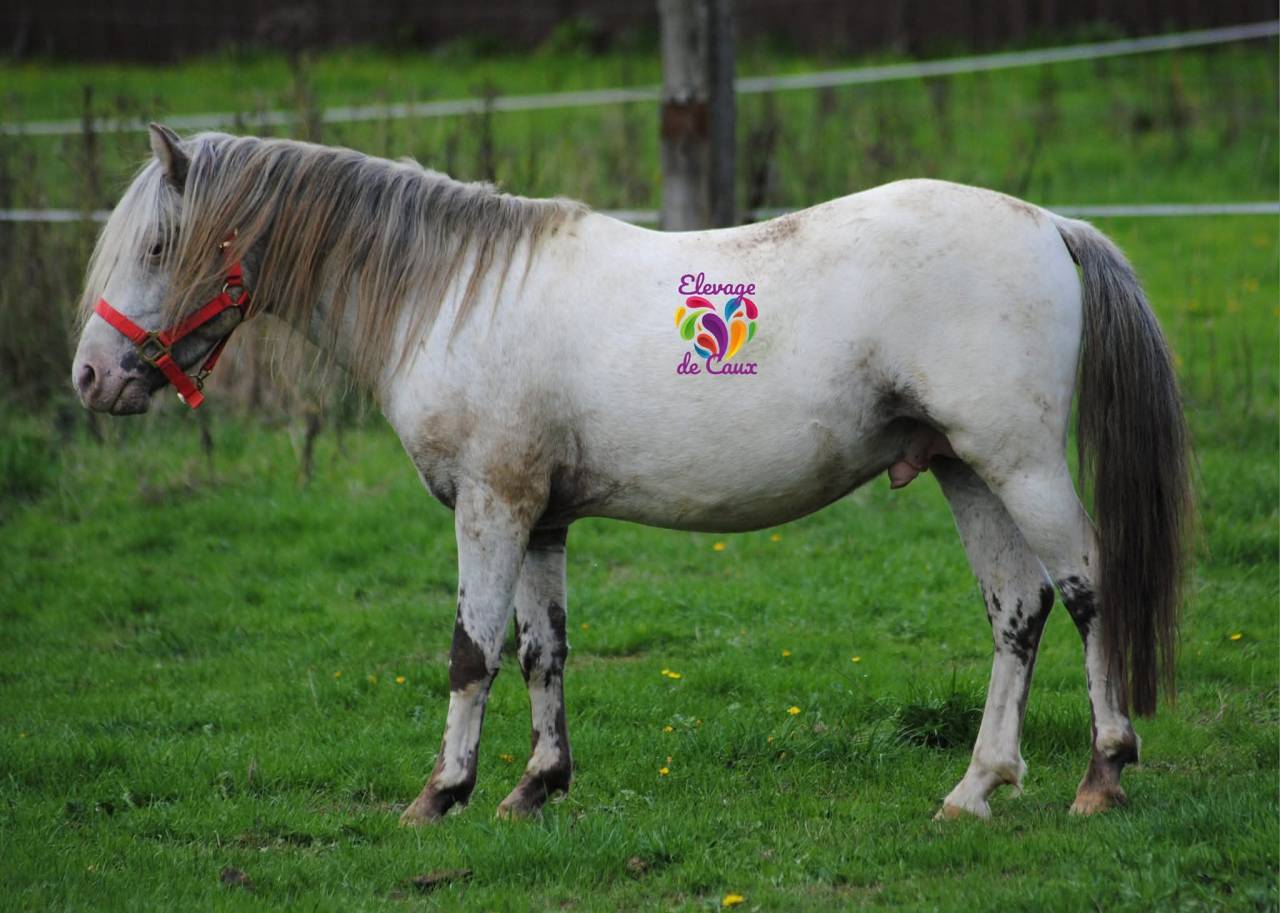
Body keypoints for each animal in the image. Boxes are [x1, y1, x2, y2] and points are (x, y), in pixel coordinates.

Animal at [71, 124, 1191, 823]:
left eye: (160, 244)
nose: (91, 377)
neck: (453, 294)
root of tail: (1050, 224)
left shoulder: (488, 508)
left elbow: (470, 653)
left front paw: (439, 795)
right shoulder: (539, 518)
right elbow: (542, 653)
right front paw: (534, 787)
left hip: (1017, 462)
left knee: (1086, 590)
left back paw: (1102, 772)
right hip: (963, 469)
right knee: (1016, 611)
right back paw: (975, 788)